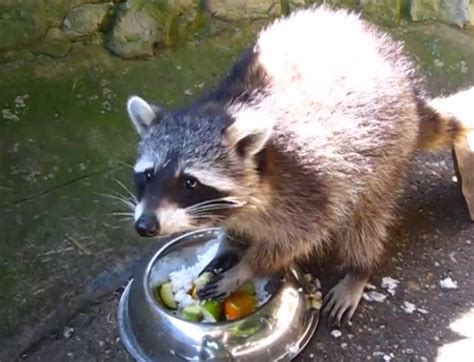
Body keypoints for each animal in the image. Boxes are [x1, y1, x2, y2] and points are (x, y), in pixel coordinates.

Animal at [124, 5, 472, 326]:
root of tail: (412, 96)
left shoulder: (309, 179)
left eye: (190, 182)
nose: (145, 226)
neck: (230, 106)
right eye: (149, 175)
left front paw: (248, 266)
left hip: (388, 149)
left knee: (366, 217)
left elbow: (302, 234)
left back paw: (359, 268)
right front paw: (229, 244)